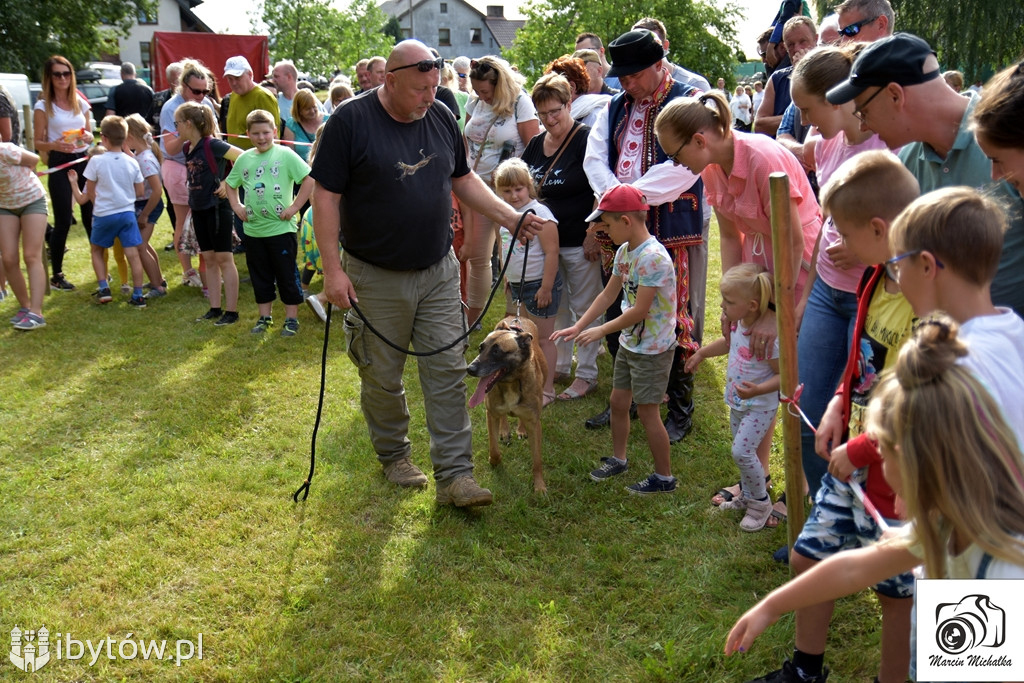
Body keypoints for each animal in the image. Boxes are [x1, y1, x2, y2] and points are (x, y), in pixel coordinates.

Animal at [468, 315, 548, 491]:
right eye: (481, 348)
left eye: (496, 351)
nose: (469, 369)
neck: (511, 382)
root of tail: (517, 317)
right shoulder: (491, 414)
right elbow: (493, 448)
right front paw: (494, 461)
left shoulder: (535, 423)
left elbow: (537, 460)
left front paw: (539, 486)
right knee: (503, 417)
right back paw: (504, 431)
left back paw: (521, 429)